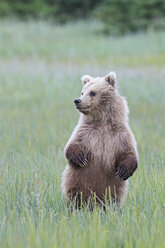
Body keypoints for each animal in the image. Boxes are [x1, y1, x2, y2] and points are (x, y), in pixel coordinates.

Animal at [61, 71, 137, 209]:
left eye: (92, 92)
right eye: (82, 92)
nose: (77, 100)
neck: (102, 122)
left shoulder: (120, 135)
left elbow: (129, 152)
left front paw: (123, 171)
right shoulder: (85, 132)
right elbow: (71, 146)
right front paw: (80, 158)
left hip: (112, 190)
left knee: (112, 198)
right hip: (76, 183)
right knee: (76, 196)